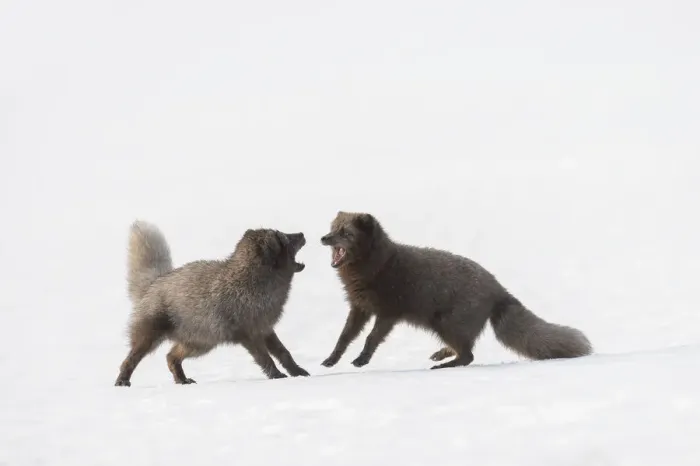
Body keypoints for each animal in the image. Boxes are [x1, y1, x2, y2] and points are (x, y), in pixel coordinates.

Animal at [114, 220, 309, 386]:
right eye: (284, 238)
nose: (302, 233)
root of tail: (155, 282)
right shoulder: (249, 335)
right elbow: (265, 358)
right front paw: (276, 376)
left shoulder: (265, 328)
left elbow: (284, 353)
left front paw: (298, 373)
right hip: (151, 338)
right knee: (129, 360)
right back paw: (122, 382)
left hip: (200, 343)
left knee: (170, 357)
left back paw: (182, 380)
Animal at [319, 211, 592, 370]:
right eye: (332, 228)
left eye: (346, 233)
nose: (323, 238)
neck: (379, 265)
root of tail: (498, 288)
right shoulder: (359, 307)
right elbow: (344, 337)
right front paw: (330, 361)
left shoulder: (389, 311)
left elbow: (371, 338)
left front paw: (361, 360)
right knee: (465, 349)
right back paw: (440, 356)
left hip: (446, 323)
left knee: (468, 355)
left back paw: (443, 365)